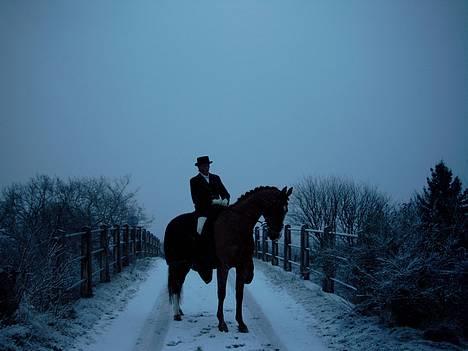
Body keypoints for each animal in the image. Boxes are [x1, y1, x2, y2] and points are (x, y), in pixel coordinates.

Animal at [163, 187, 290, 332]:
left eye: (286, 210)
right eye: (276, 207)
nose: (276, 234)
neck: (237, 225)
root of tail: (171, 224)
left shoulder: (241, 266)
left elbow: (239, 294)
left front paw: (241, 323)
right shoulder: (223, 267)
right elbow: (221, 293)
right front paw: (222, 323)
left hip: (184, 265)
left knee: (178, 285)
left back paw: (179, 310)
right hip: (178, 264)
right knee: (176, 285)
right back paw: (176, 314)